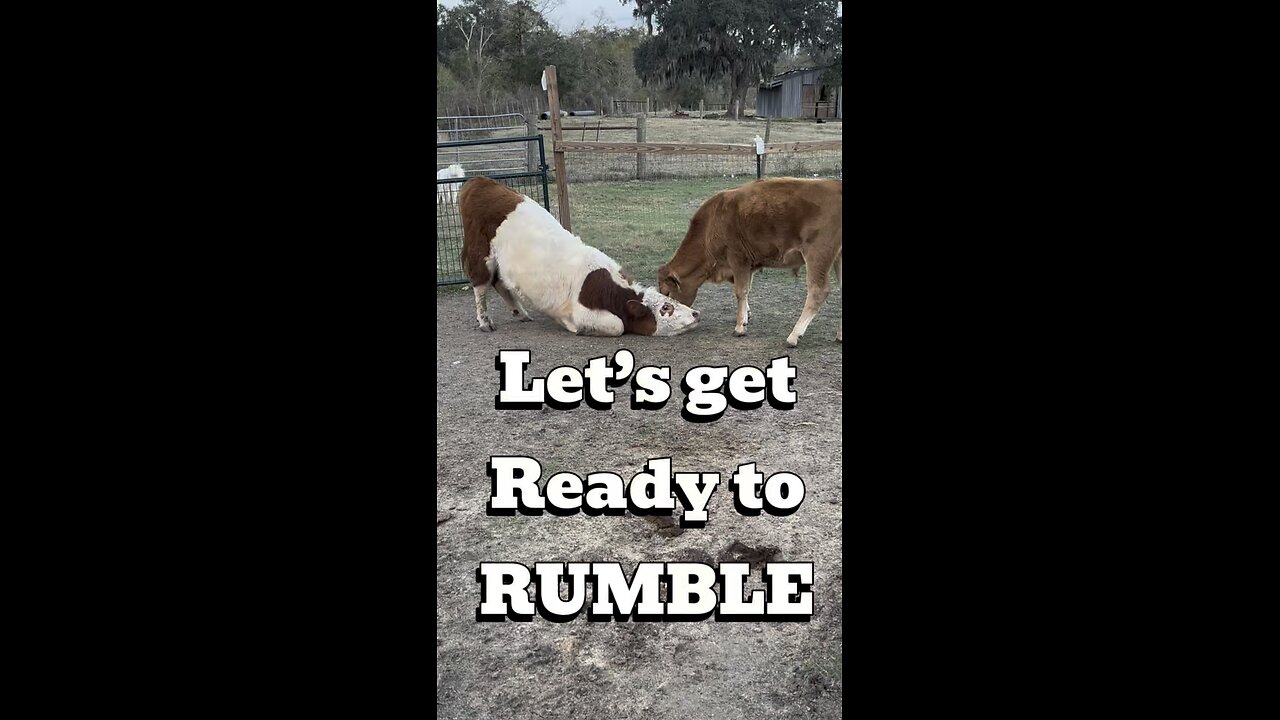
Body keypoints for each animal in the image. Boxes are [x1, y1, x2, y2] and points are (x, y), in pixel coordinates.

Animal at [459, 176, 700, 337]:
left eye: (672, 300)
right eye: (666, 308)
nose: (696, 313)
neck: (608, 290)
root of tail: (479, 182)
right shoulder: (584, 312)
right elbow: (617, 326)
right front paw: (581, 329)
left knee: (499, 283)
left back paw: (521, 313)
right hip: (481, 254)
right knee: (481, 284)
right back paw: (485, 322)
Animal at [656, 177, 842, 348]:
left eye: (666, 293)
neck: (711, 223)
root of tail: (836, 186)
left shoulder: (738, 259)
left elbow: (741, 291)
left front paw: (739, 327)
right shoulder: (746, 266)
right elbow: (746, 290)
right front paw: (746, 316)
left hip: (817, 254)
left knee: (818, 291)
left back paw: (793, 336)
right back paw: (839, 335)